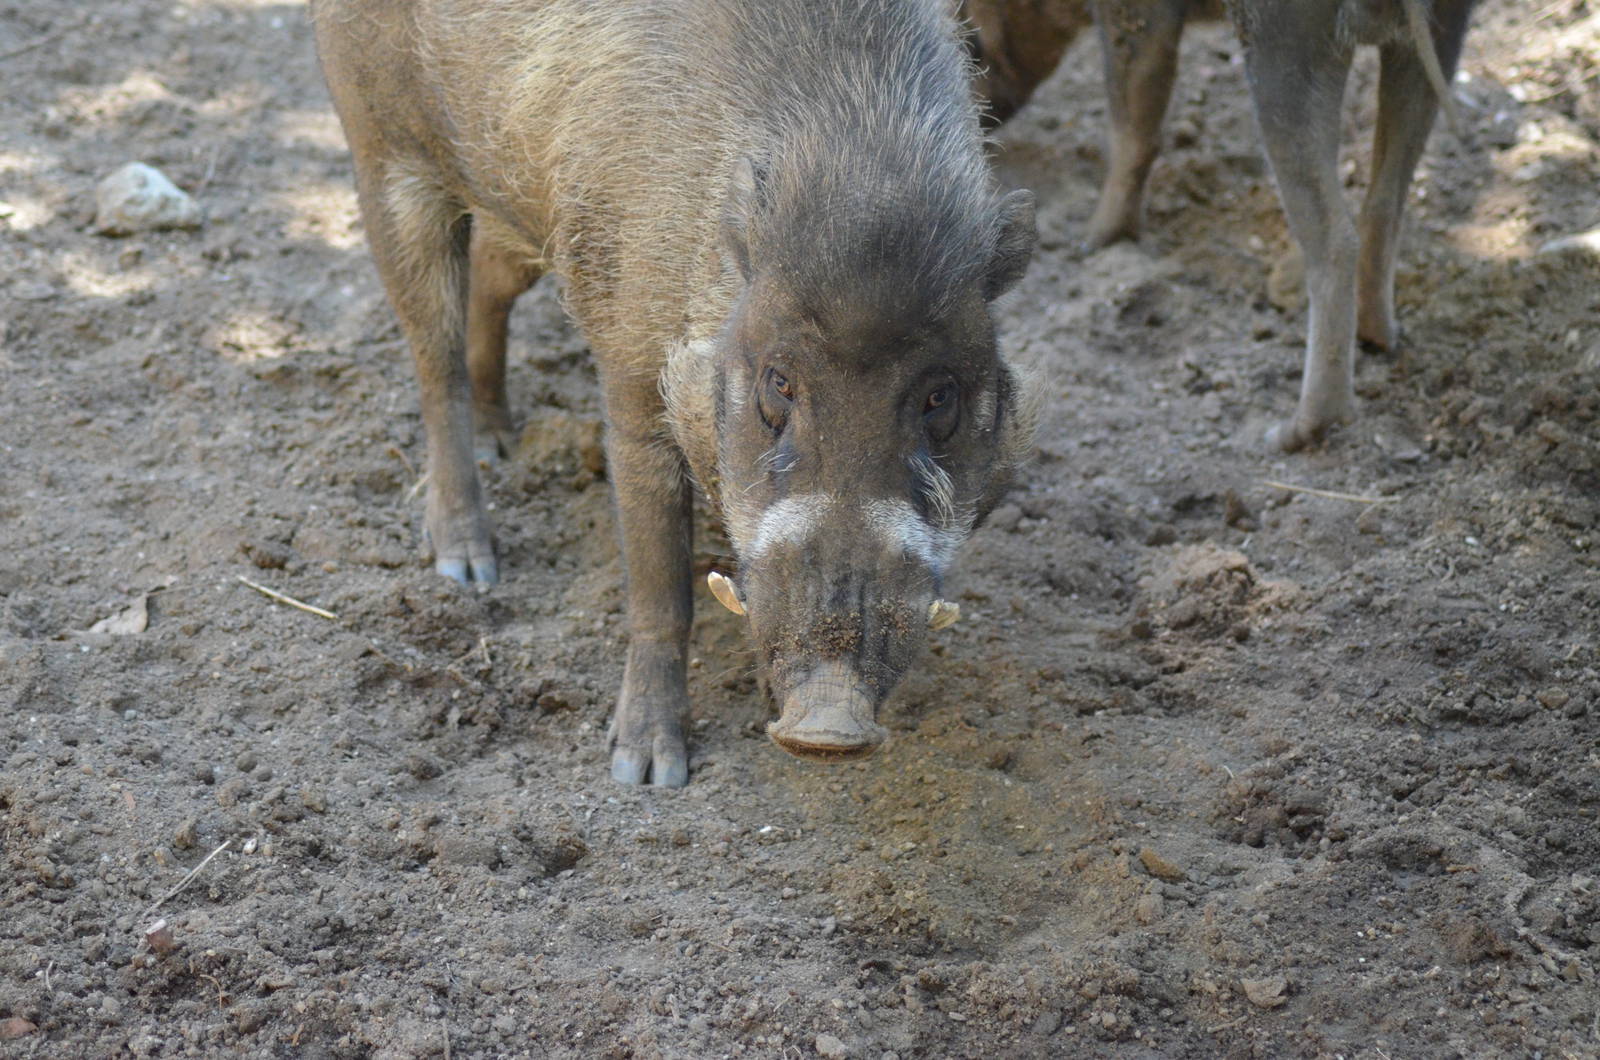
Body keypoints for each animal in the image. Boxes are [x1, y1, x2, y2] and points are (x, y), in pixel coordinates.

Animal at [311, 0, 1041, 785]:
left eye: (941, 398)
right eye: (778, 381)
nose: (827, 727)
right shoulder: (633, 376)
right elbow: (660, 583)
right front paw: (645, 771)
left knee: (489, 276)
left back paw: (502, 441)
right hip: (381, 151)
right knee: (432, 359)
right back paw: (467, 566)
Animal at [961, 0, 1474, 451]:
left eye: (974, 48)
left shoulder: (1135, 15)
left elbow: (1134, 120)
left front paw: (1090, 243)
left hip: (1285, 41)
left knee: (1334, 238)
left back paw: (1289, 435)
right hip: (1441, 29)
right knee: (1387, 201)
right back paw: (1380, 339)